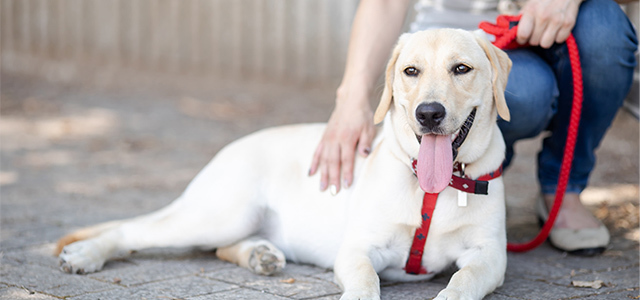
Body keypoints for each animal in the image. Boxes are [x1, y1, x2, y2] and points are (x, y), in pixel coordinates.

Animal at [57, 29, 512, 300]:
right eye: (410, 71)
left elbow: (463, 279)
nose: (428, 114)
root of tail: (230, 148)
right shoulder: (358, 248)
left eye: (461, 68)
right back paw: (84, 255)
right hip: (219, 213)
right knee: (129, 232)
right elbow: (366, 281)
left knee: (219, 247)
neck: (435, 187)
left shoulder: (489, 256)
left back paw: (260, 255)